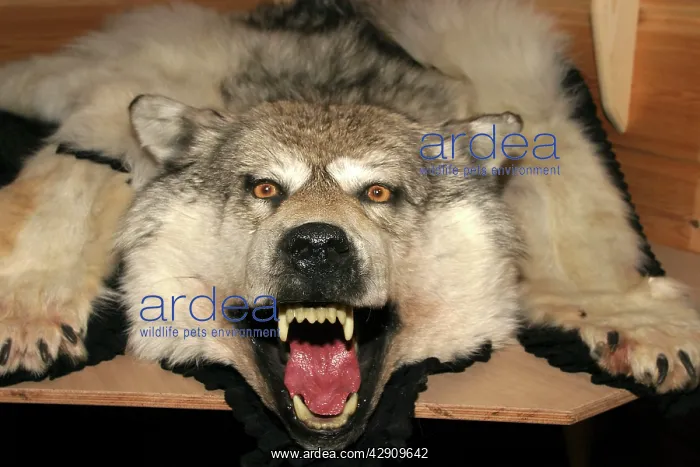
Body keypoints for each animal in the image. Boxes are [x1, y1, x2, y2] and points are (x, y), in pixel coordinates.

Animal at [0, 0, 698, 451]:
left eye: (378, 192)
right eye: (265, 188)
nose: (316, 245)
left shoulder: (538, 108)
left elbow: (577, 218)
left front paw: (630, 315)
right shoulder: (105, 132)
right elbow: (61, 193)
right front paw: (28, 306)